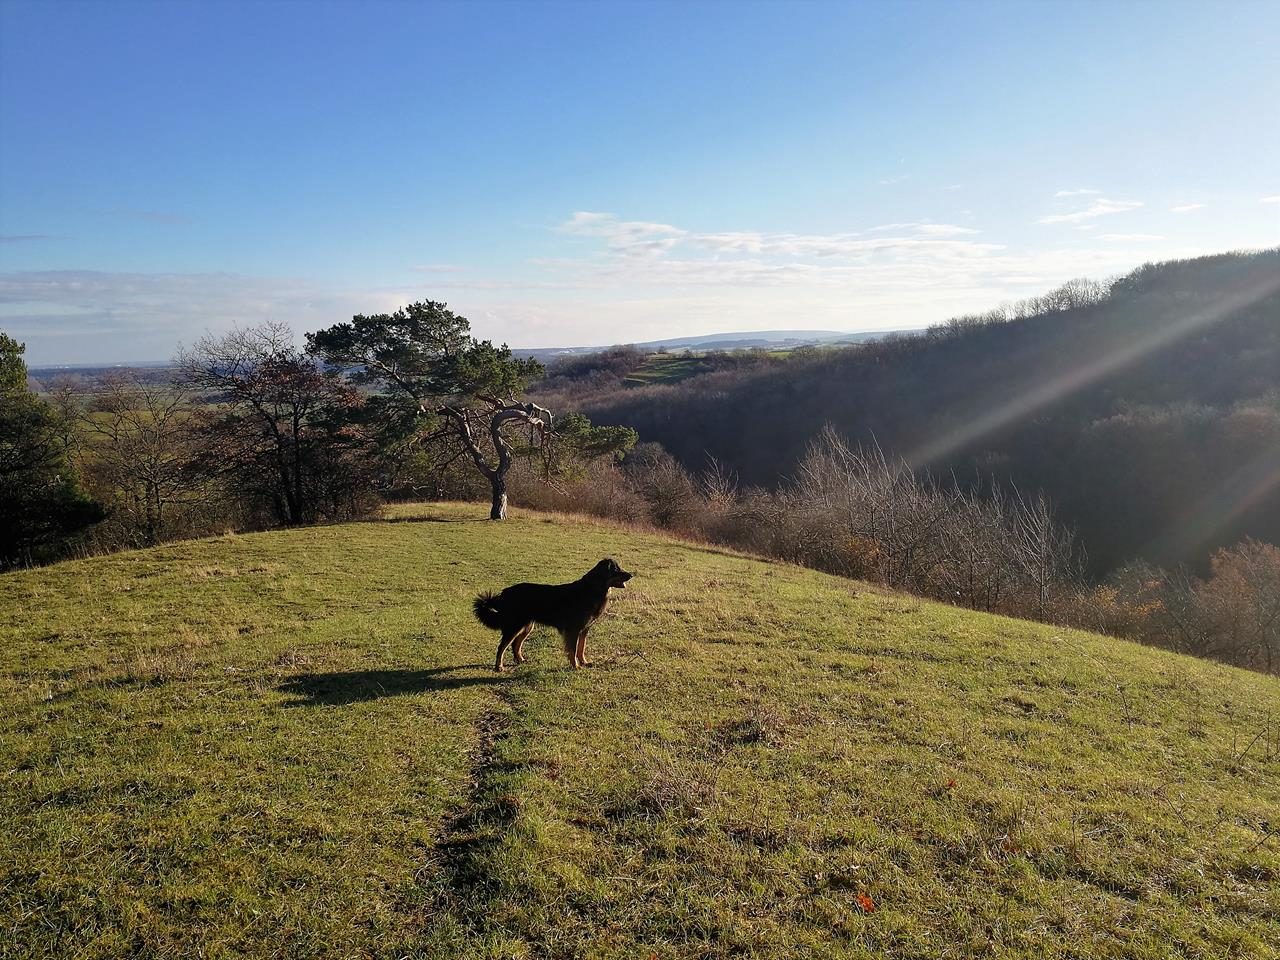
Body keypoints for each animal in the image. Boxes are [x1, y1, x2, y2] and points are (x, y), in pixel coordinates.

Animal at [473, 560, 632, 670]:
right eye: (616, 570)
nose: (631, 575)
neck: (593, 588)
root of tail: (504, 593)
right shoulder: (573, 630)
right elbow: (573, 650)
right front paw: (575, 666)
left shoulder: (584, 629)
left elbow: (581, 648)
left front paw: (584, 662)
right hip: (514, 626)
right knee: (502, 647)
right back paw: (499, 666)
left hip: (527, 626)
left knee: (515, 644)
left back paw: (520, 660)